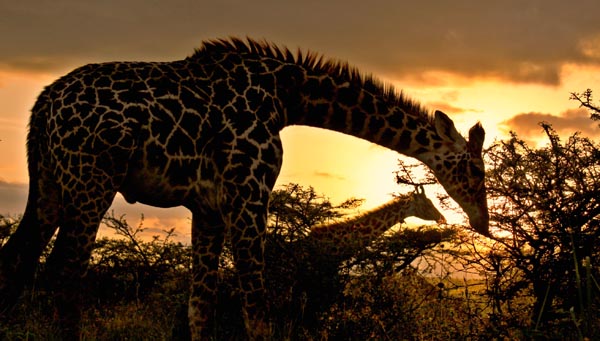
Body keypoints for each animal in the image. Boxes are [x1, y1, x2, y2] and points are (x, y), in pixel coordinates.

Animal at [0, 37, 488, 338]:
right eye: (475, 171)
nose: (482, 223)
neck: (287, 96)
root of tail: (44, 104)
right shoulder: (249, 191)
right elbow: (256, 307)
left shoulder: (208, 206)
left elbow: (201, 306)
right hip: (91, 181)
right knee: (63, 274)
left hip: (49, 186)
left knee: (17, 260)